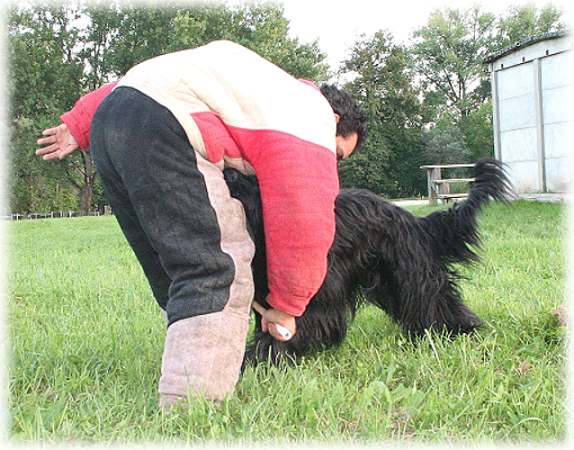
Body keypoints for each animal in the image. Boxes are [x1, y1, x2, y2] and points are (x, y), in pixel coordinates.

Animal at [225, 158, 512, 366]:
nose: (228, 172)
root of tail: (415, 222)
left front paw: (260, 360)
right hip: (388, 281)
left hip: (410, 273)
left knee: (435, 300)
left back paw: (462, 330)